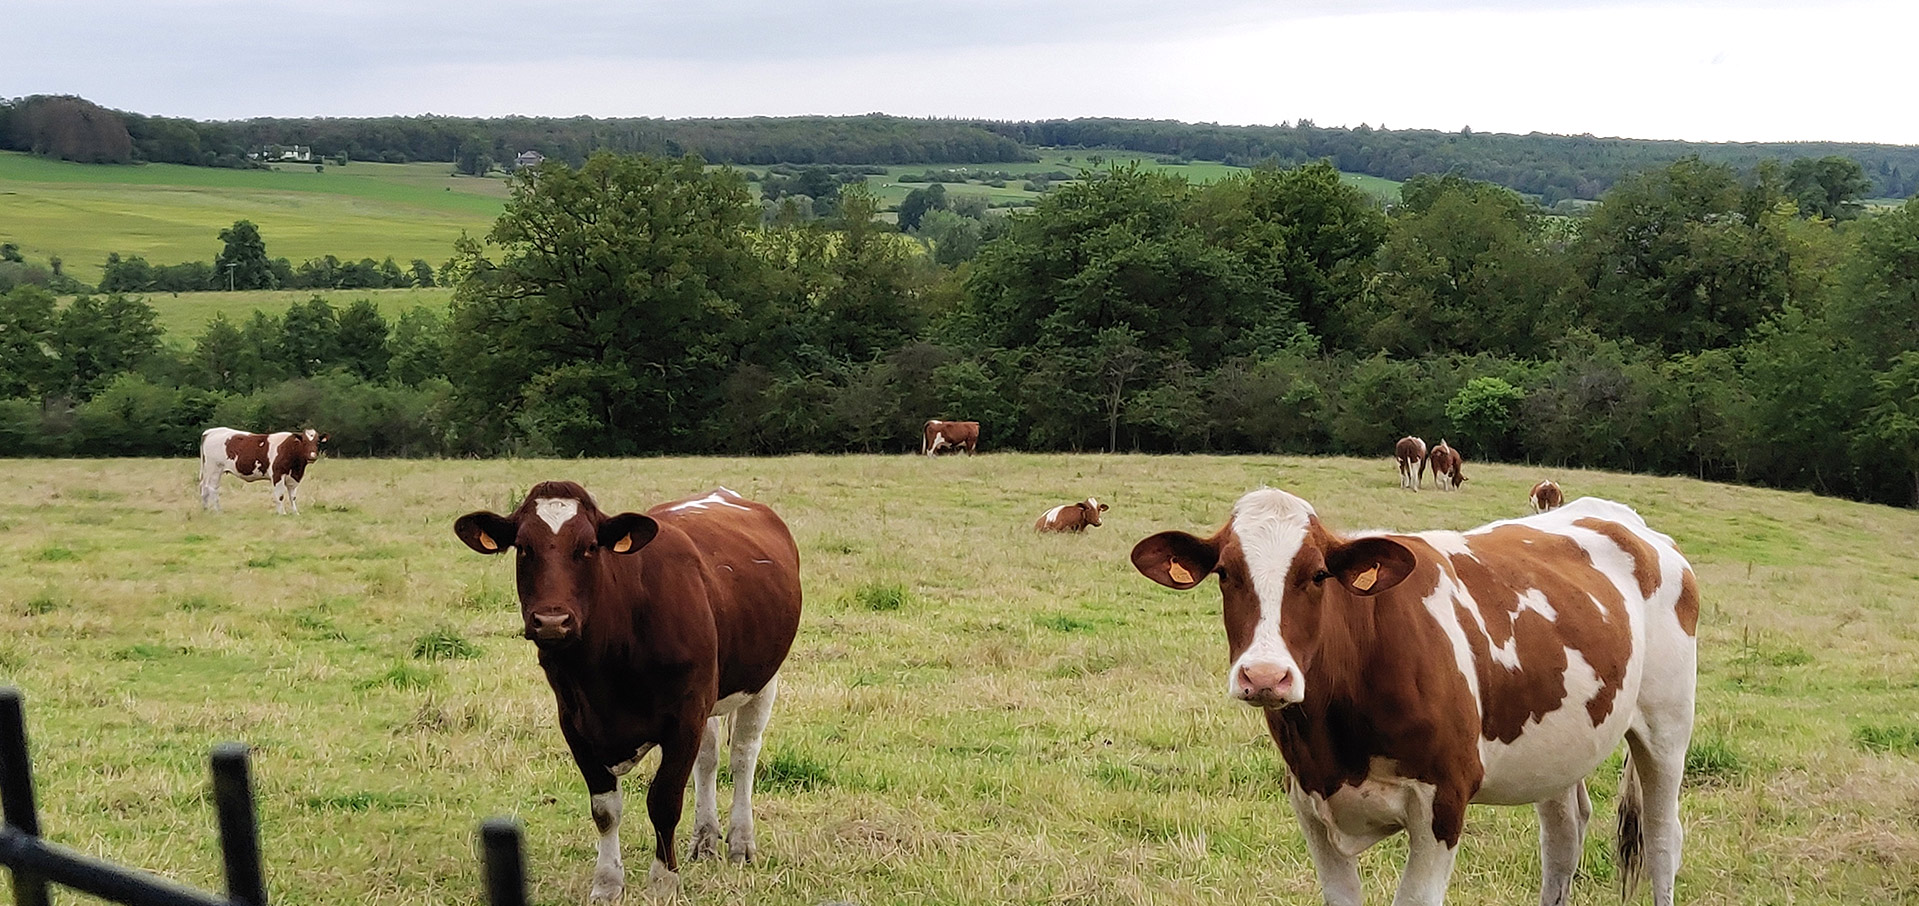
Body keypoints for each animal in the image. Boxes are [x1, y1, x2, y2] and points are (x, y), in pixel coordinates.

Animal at [197, 426, 326, 514]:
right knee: (212, 488)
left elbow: (292, 496)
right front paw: (282, 513)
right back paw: (218, 511)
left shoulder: (294, 477)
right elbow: (280, 495)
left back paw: (205, 509)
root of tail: (211, 431)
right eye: (304, 442)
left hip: (210, 470)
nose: (312, 456)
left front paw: (295, 513)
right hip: (214, 468)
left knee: (204, 487)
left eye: (317, 442)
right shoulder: (277, 474)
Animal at [456, 481, 802, 898]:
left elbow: (664, 801)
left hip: (761, 679)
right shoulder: (574, 722)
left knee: (743, 755)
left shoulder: (685, 715)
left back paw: (740, 842)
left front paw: (664, 881)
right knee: (708, 758)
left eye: (589, 546)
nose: (552, 621)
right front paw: (607, 882)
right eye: (524, 547)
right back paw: (704, 840)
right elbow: (605, 809)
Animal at [1128, 487, 1704, 906]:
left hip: (1667, 727)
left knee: (1662, 840)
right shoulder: (1310, 804)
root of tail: (1622, 517)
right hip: (1559, 746)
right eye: (1226, 573)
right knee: (1563, 838)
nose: (1266, 675)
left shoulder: (1442, 804)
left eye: (1318, 575)